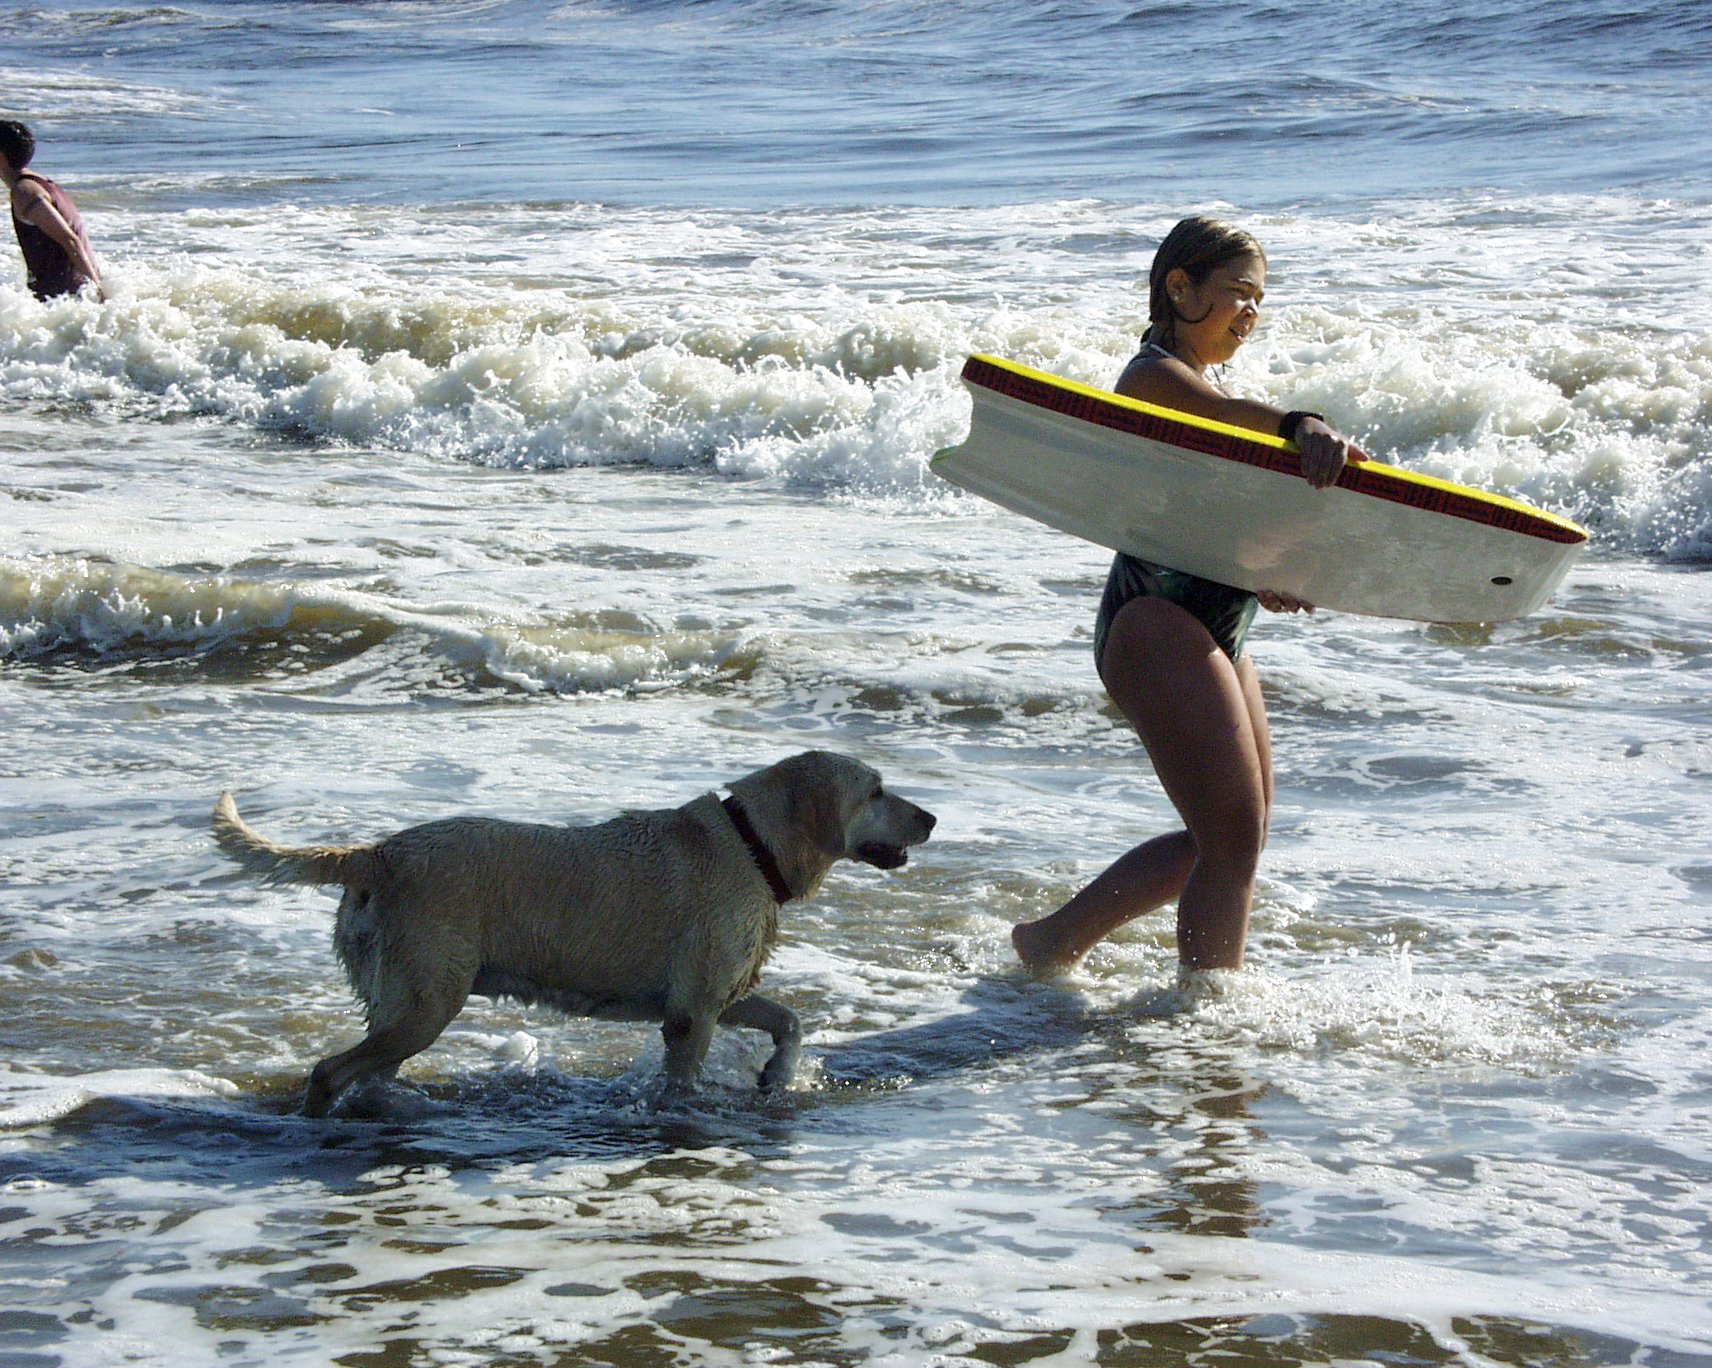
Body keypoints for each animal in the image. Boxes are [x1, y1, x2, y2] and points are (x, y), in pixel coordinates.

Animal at [211, 750, 935, 1115]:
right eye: (876, 790)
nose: (931, 818)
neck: (753, 844)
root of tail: (377, 852)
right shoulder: (692, 1014)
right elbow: (682, 1082)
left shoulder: (715, 994)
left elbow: (790, 1020)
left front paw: (778, 1076)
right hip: (426, 1003)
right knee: (327, 1072)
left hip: (400, 1007)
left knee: (364, 1070)